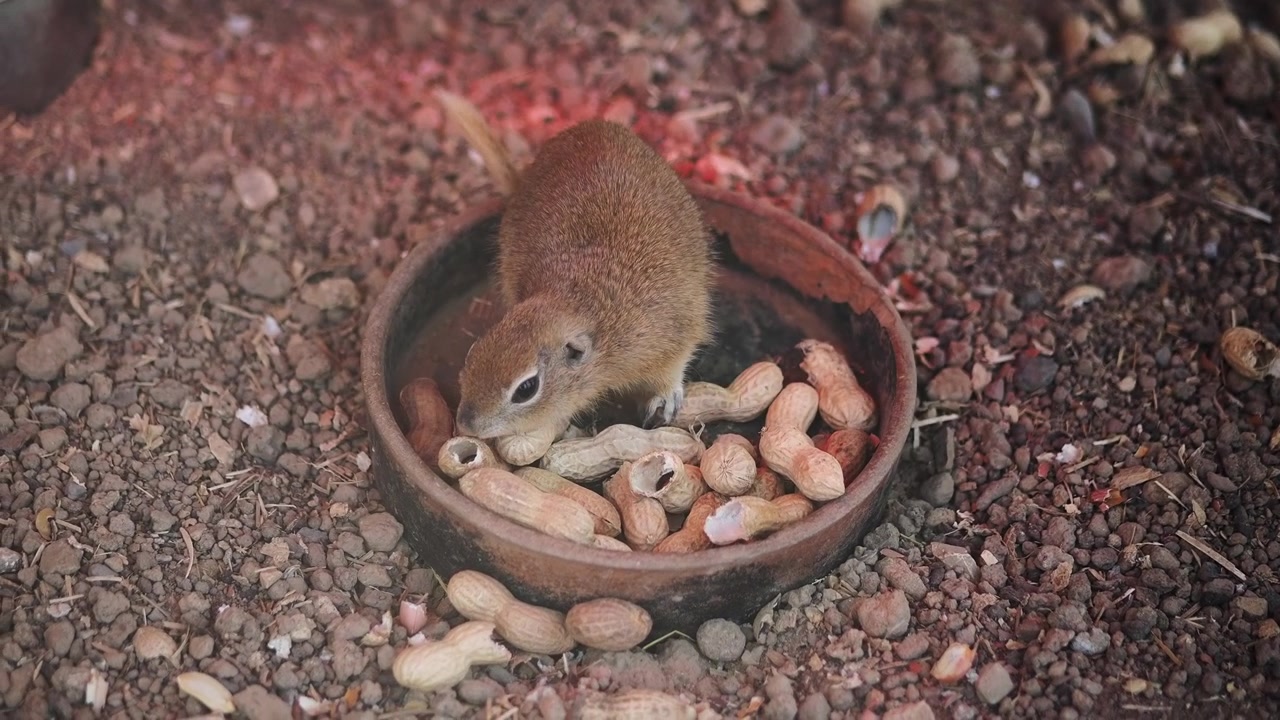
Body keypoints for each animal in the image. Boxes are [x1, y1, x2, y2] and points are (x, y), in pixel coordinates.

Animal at [435, 90, 716, 441]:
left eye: (526, 388)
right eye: (473, 352)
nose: (466, 424)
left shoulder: (673, 334)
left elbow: (672, 369)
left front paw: (664, 399)